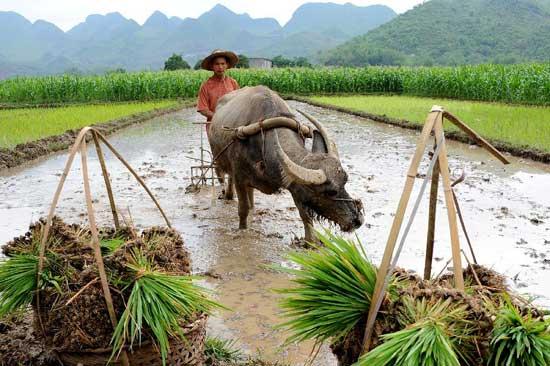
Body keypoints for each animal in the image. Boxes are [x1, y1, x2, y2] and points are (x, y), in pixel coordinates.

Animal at [209, 84, 364, 242]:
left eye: (345, 181)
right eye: (330, 192)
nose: (357, 220)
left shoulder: (295, 185)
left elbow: (305, 216)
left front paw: (310, 242)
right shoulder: (239, 177)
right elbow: (243, 209)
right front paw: (243, 229)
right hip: (220, 161)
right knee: (227, 177)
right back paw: (228, 195)